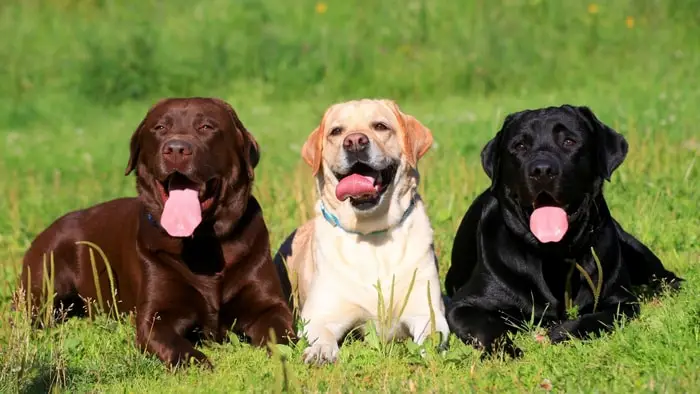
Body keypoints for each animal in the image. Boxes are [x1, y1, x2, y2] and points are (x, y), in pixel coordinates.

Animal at [21, 97, 296, 368]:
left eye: (206, 127)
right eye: (160, 128)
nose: (175, 149)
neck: (202, 243)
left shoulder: (269, 305)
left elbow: (283, 334)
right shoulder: (155, 316)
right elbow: (174, 344)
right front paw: (197, 361)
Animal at [274, 100, 448, 364]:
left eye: (380, 126)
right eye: (336, 131)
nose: (355, 141)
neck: (372, 232)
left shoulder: (427, 309)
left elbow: (431, 335)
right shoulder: (320, 314)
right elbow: (322, 333)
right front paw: (320, 351)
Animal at [446, 105, 680, 358]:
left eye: (569, 141)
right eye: (520, 146)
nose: (542, 170)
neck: (554, 255)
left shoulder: (621, 300)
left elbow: (596, 318)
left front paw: (561, 331)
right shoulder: (463, 306)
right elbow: (489, 327)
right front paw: (507, 352)